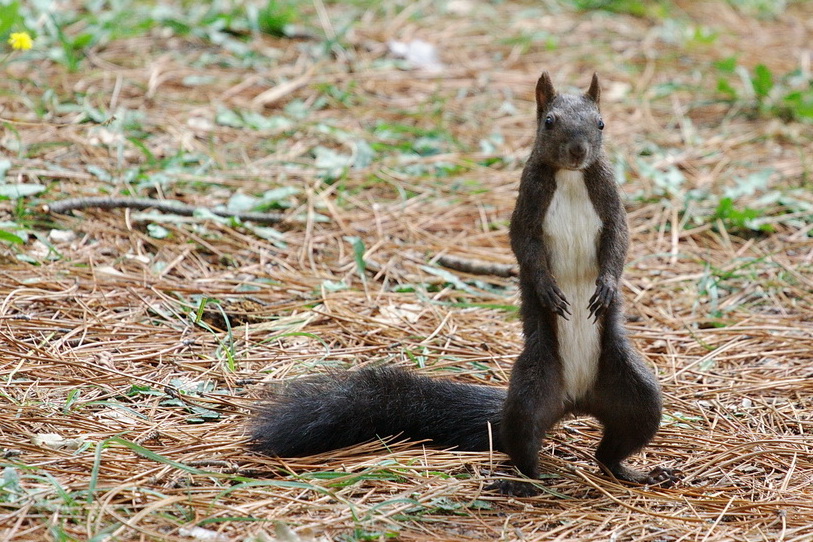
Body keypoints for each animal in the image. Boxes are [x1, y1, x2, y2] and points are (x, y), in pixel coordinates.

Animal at [249, 71, 680, 498]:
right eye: (549, 122)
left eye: (601, 124)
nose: (577, 151)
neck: (572, 178)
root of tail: (574, 400)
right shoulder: (527, 202)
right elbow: (524, 246)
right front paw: (546, 288)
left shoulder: (609, 197)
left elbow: (619, 242)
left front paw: (607, 286)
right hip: (532, 392)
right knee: (524, 443)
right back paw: (522, 483)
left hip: (635, 394)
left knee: (615, 445)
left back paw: (635, 473)